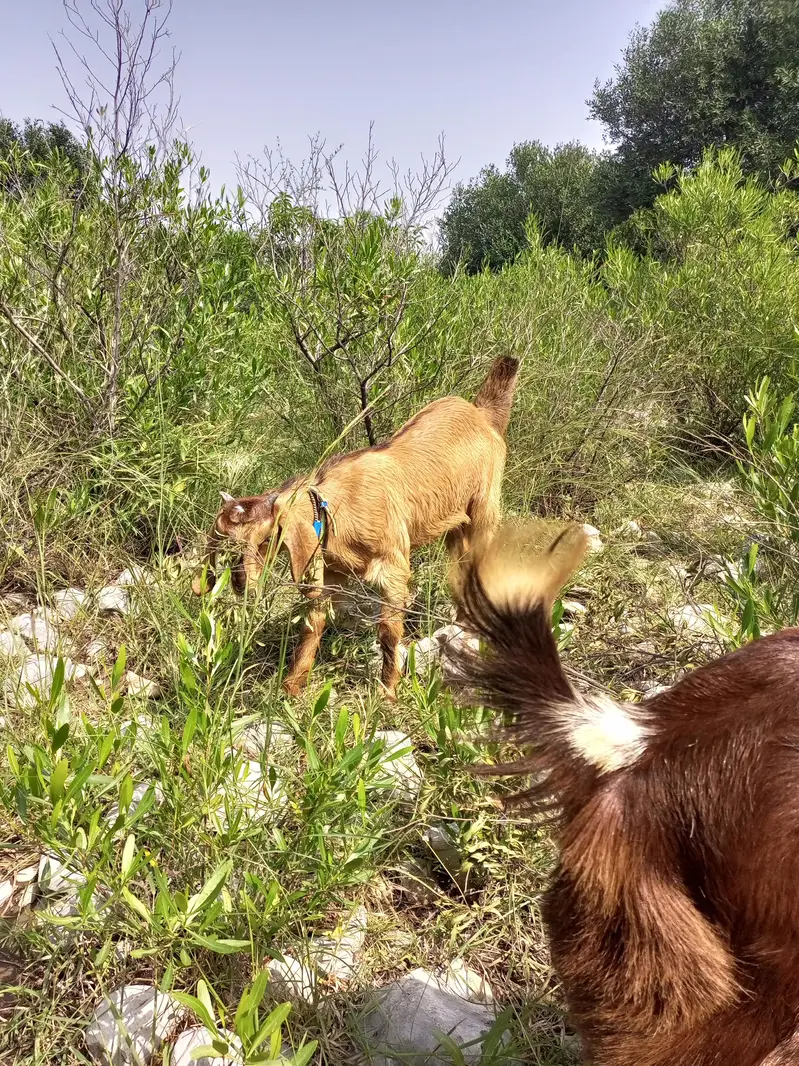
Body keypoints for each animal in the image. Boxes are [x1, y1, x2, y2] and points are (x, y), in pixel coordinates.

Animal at [192, 356, 519, 697]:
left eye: (266, 538)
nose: (240, 582)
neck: (334, 512)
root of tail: (481, 413)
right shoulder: (327, 573)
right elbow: (313, 623)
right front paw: (292, 685)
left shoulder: (393, 566)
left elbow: (388, 631)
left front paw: (388, 691)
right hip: (455, 526)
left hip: (484, 508)